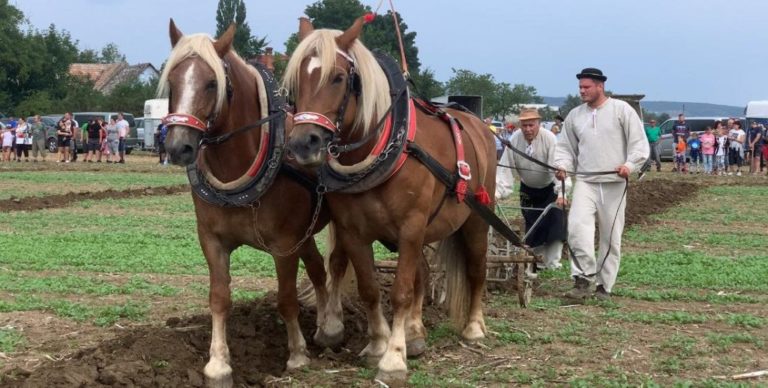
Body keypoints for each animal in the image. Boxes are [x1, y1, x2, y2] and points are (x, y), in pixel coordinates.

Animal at [160, 21, 328, 388]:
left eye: (212, 83)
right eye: (173, 81)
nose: (179, 147)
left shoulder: (284, 245)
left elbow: (286, 299)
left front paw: (297, 355)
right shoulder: (212, 240)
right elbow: (219, 298)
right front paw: (218, 364)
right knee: (319, 269)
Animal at [282, 15, 498, 384]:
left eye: (338, 78)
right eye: (296, 81)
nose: (303, 144)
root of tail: (478, 125)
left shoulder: (410, 227)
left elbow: (400, 292)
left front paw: (394, 359)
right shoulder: (354, 232)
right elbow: (370, 289)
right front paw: (378, 345)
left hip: (475, 220)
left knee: (476, 269)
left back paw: (473, 328)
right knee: (421, 275)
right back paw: (415, 333)